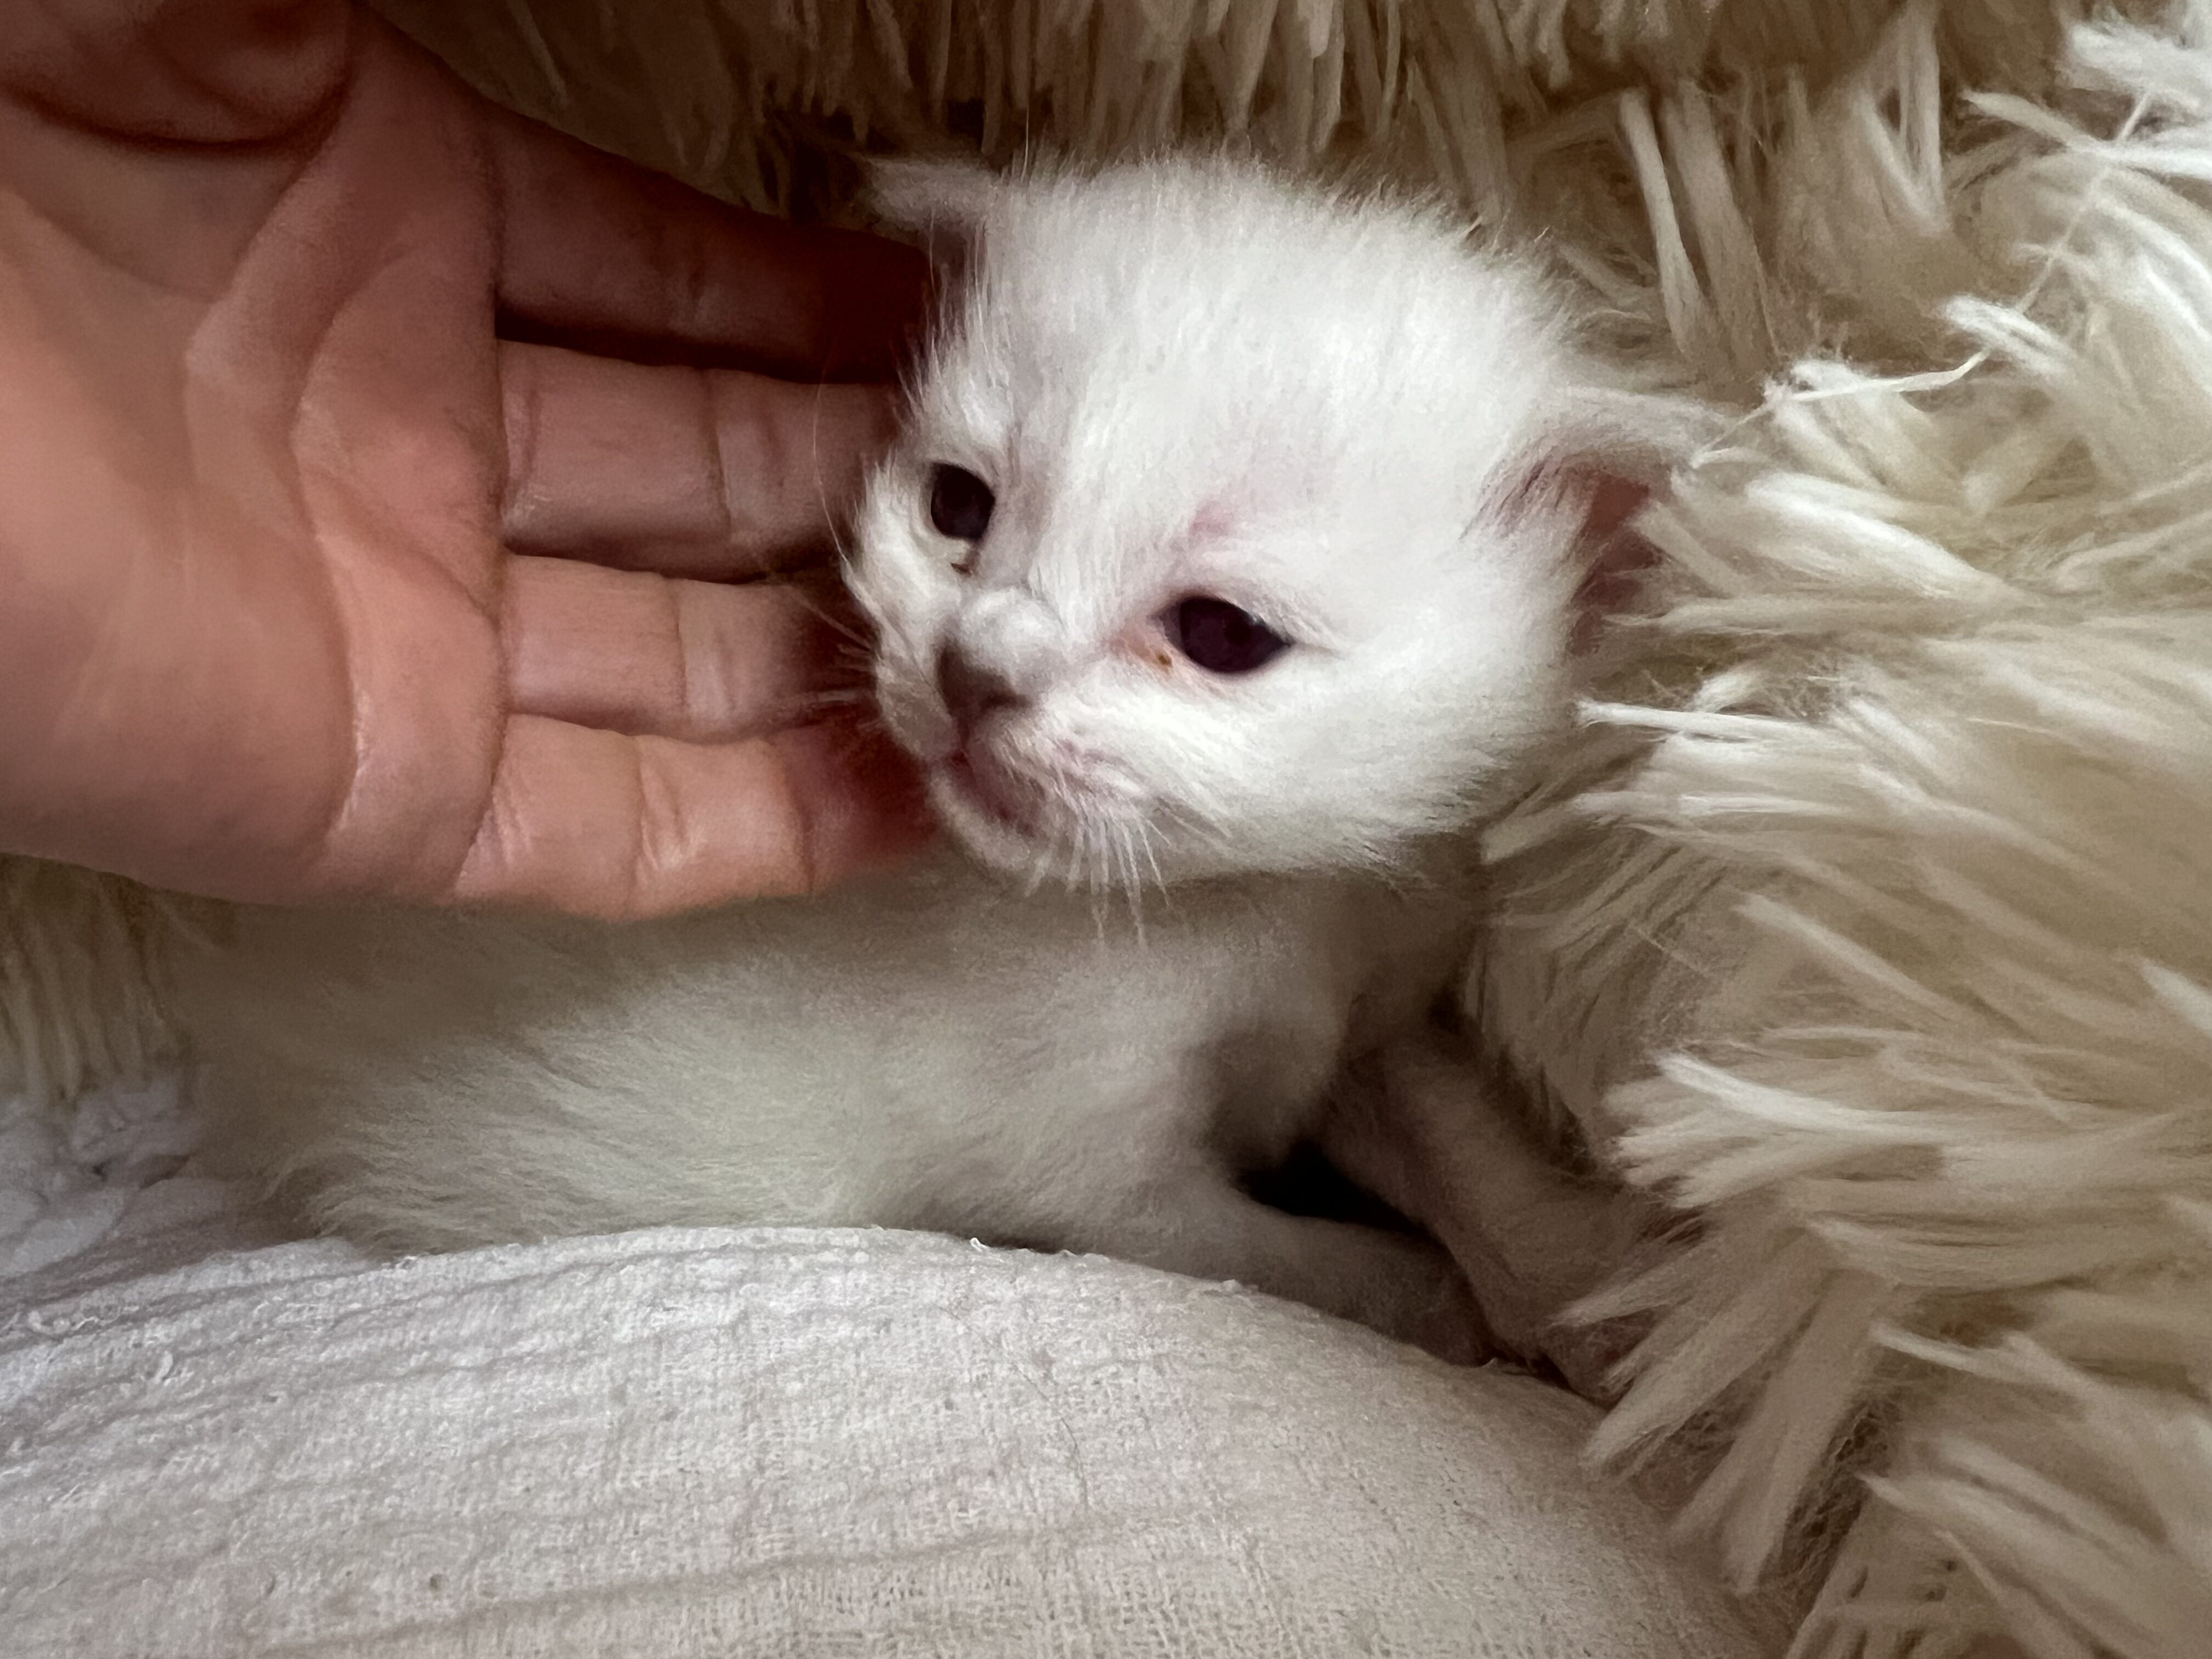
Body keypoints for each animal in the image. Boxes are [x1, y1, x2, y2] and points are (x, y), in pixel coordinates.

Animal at [176, 154, 1681, 1361]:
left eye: (1218, 634)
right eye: (958, 508)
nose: (975, 670)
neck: (1244, 906)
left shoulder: (1363, 996)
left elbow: (1436, 1112)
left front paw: (1568, 1267)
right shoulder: (1091, 1173)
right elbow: (1276, 1258)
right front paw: (1436, 1301)